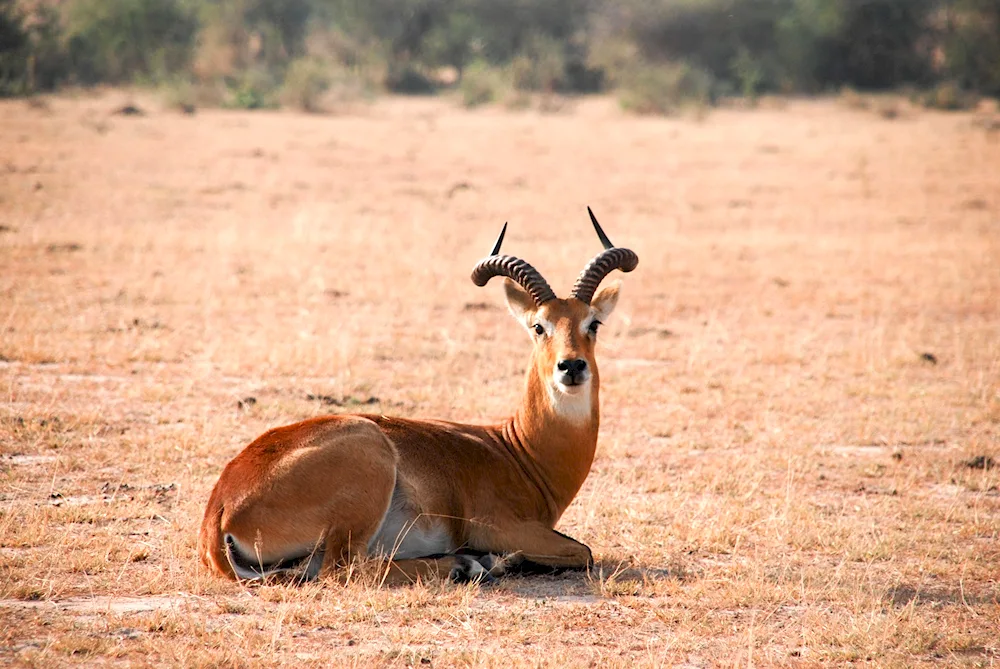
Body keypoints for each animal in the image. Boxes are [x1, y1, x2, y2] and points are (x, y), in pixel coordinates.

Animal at [201, 209, 640, 584]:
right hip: (367, 472)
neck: (518, 450)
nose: (571, 366)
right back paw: (467, 564)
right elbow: (583, 551)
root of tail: (219, 512)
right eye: (538, 326)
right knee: (345, 569)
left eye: (593, 323)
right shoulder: (499, 525)